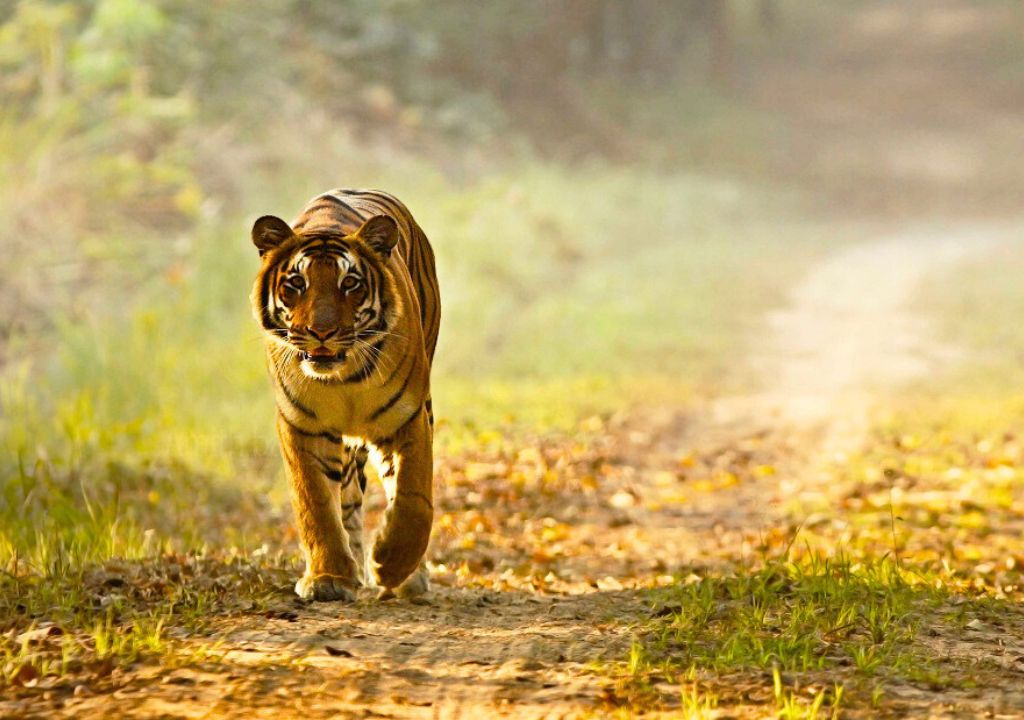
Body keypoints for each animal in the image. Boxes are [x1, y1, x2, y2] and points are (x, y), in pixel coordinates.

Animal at [250, 188, 440, 602]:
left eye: (350, 283)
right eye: (297, 283)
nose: (321, 332)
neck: (344, 378)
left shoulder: (409, 418)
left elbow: (414, 500)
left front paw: (390, 563)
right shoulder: (302, 427)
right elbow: (316, 505)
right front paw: (329, 578)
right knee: (348, 499)